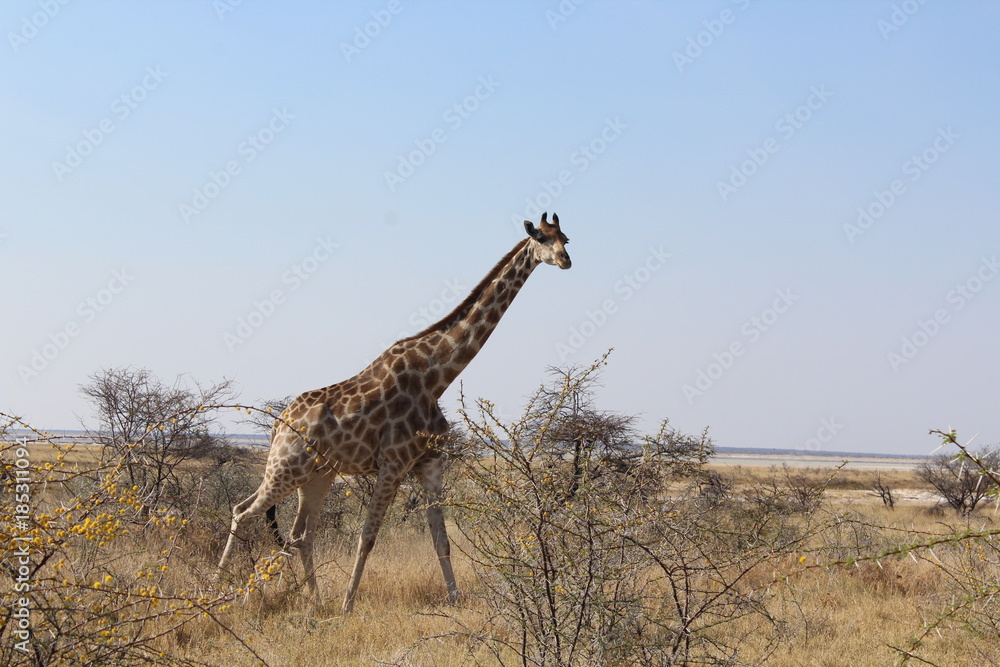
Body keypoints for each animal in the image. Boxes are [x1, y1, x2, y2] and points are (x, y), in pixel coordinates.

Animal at [218, 213, 572, 612]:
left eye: (566, 239)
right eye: (541, 238)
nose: (565, 261)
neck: (437, 378)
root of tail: (280, 424)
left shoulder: (429, 463)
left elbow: (441, 539)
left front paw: (455, 601)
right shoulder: (393, 464)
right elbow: (367, 537)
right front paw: (348, 605)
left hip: (316, 475)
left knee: (299, 533)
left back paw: (314, 600)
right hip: (285, 467)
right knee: (243, 512)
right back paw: (221, 590)